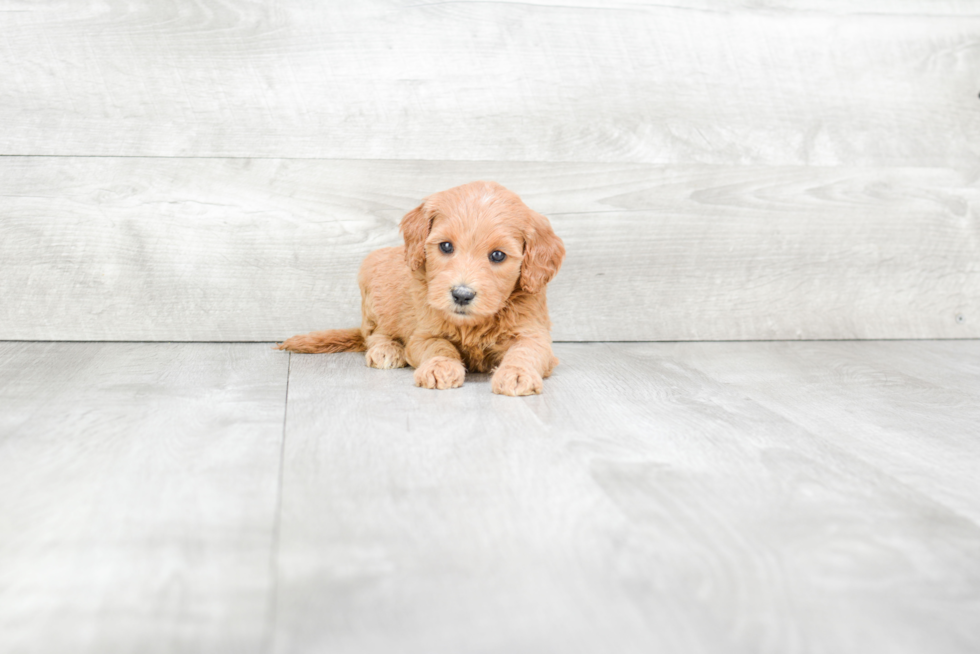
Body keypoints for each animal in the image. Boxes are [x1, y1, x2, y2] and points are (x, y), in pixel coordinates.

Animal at [276, 179, 568, 398]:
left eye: (498, 255)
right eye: (446, 246)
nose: (462, 295)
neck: (472, 326)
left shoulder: (534, 332)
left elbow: (526, 350)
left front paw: (517, 373)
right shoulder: (422, 333)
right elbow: (438, 346)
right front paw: (440, 367)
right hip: (373, 281)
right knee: (373, 334)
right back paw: (386, 349)